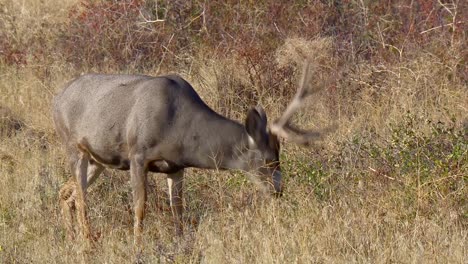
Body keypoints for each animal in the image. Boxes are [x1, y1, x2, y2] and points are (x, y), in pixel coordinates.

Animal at [53, 63, 324, 249]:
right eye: (269, 159)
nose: (279, 190)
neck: (179, 128)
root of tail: (58, 98)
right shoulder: (137, 155)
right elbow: (140, 207)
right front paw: (137, 247)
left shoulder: (175, 167)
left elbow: (178, 211)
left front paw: (181, 244)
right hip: (72, 146)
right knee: (82, 198)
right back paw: (87, 243)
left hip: (98, 160)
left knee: (67, 192)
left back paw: (72, 239)